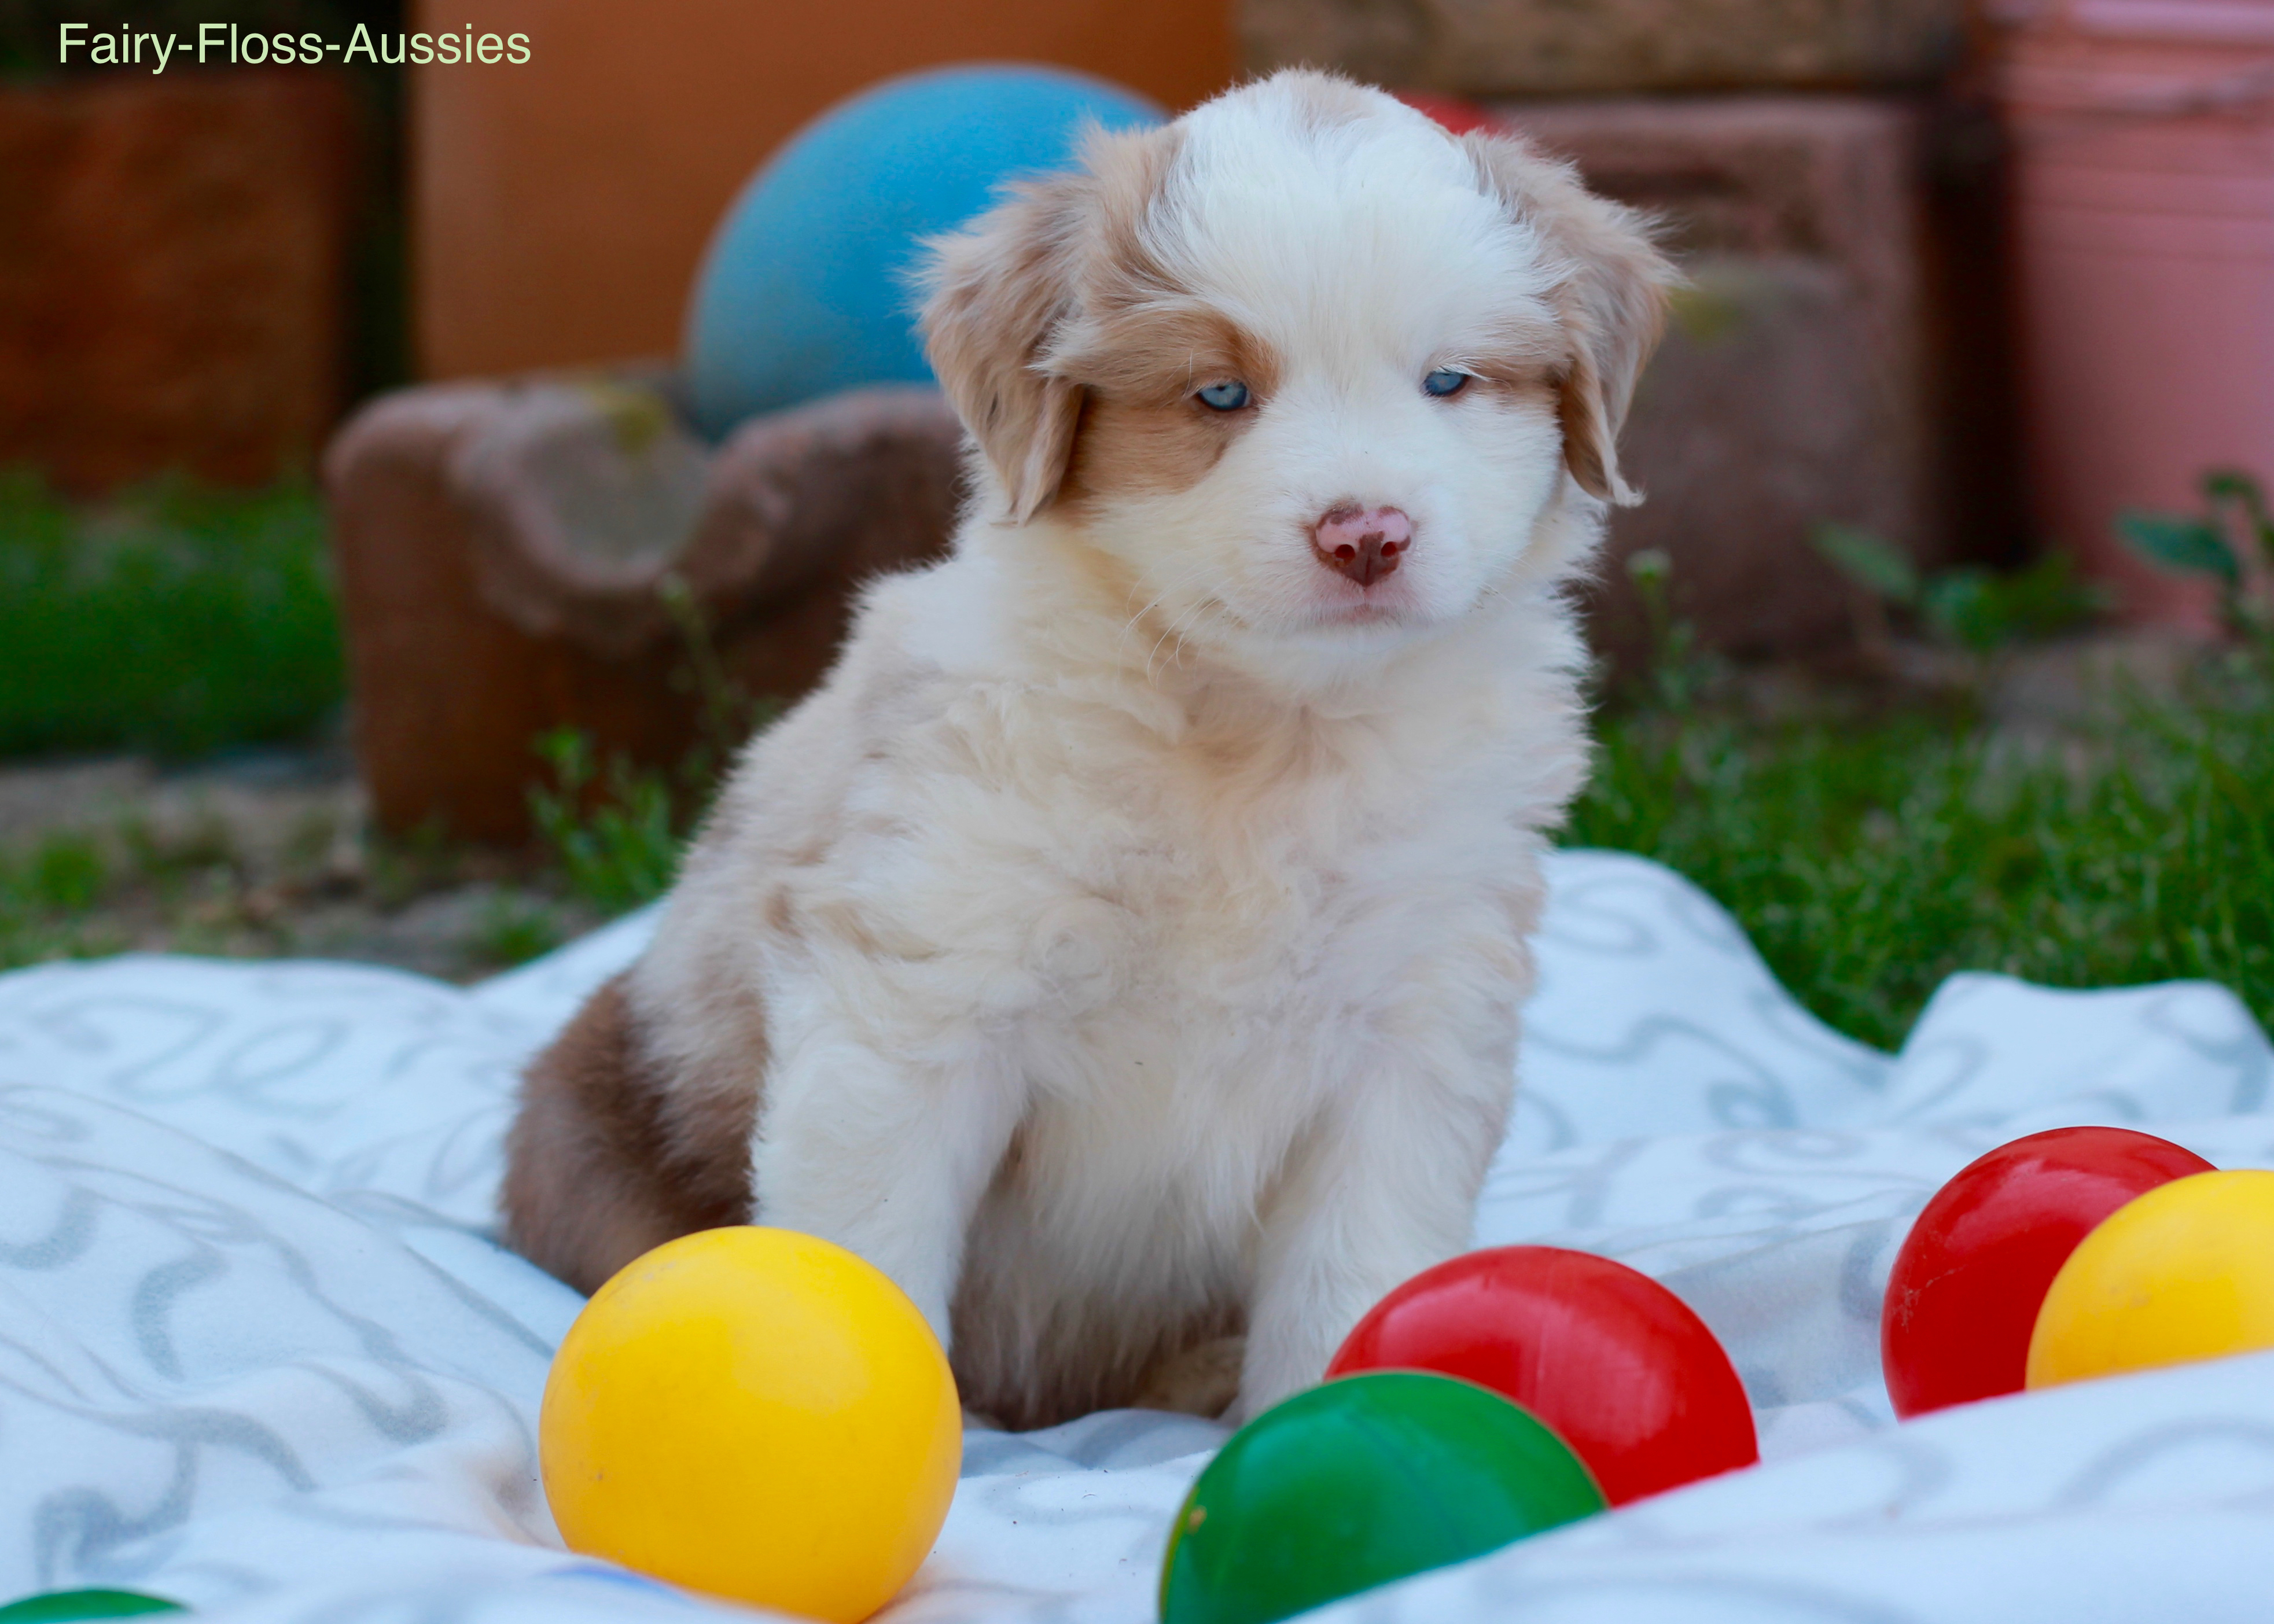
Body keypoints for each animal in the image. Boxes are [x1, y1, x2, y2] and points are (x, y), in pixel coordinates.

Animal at [502, 69, 1673, 1419]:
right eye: (1220, 394)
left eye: (1448, 382)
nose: (1366, 534)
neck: (1260, 734)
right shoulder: (920, 988)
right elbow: (873, 1241)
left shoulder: (1413, 1022)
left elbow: (1352, 1271)